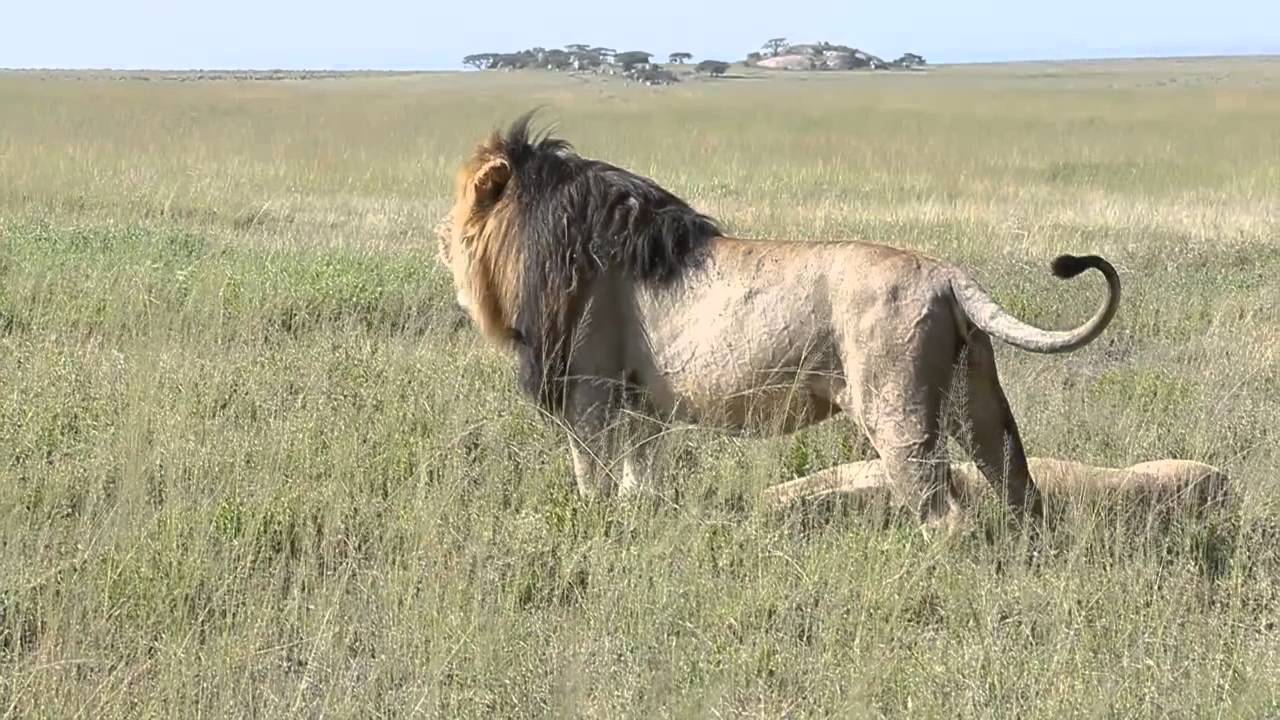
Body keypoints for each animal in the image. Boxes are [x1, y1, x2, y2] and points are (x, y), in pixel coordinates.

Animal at [436, 110, 1122, 528]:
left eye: (462, 197)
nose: (438, 234)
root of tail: (946, 274)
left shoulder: (589, 389)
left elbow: (591, 476)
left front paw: (594, 525)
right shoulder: (639, 401)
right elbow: (640, 475)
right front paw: (637, 520)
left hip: (896, 412)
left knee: (945, 515)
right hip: (974, 395)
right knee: (1019, 486)